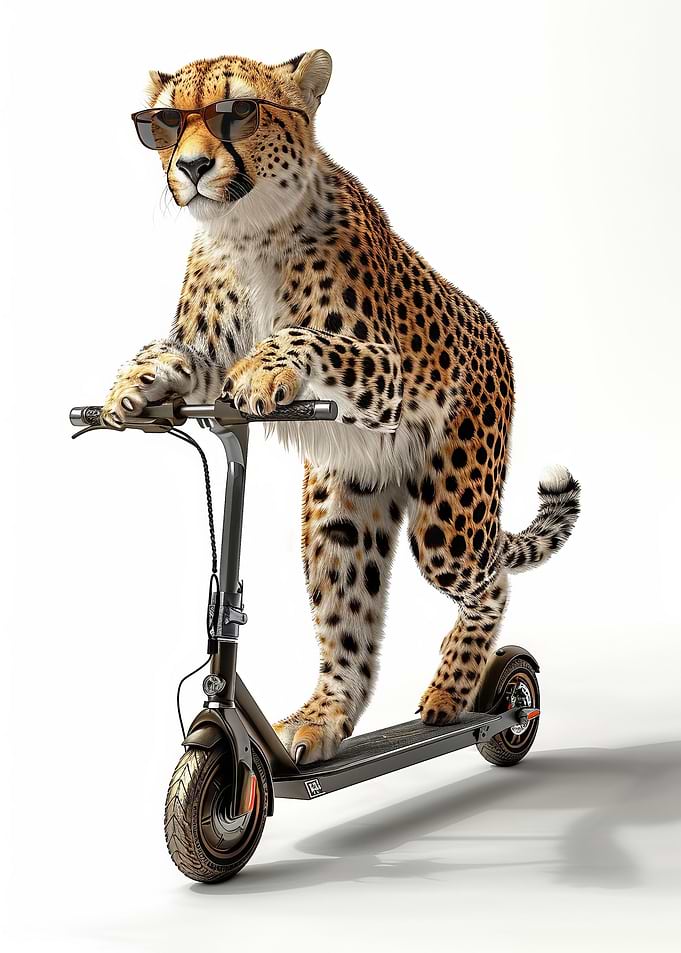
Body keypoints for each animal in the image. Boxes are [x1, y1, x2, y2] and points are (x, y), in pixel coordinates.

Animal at [102, 50, 581, 765]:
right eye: (163, 124)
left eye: (239, 112)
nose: (190, 167)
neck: (250, 232)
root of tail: (494, 332)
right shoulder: (202, 355)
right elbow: (169, 354)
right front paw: (125, 386)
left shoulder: (387, 373)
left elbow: (302, 337)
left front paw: (262, 371)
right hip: (342, 510)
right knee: (351, 631)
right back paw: (321, 719)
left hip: (450, 524)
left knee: (492, 581)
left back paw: (463, 691)